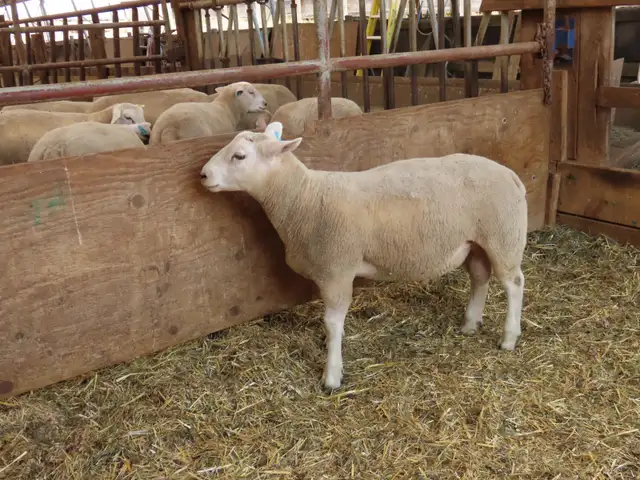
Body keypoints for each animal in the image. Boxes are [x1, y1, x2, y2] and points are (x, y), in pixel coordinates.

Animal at [199, 121, 528, 390]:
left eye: (239, 156)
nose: (203, 174)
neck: (304, 197)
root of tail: (512, 175)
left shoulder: (337, 269)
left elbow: (332, 322)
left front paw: (332, 376)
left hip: (504, 236)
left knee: (514, 283)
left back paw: (509, 338)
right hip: (477, 241)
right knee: (480, 277)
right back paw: (470, 324)